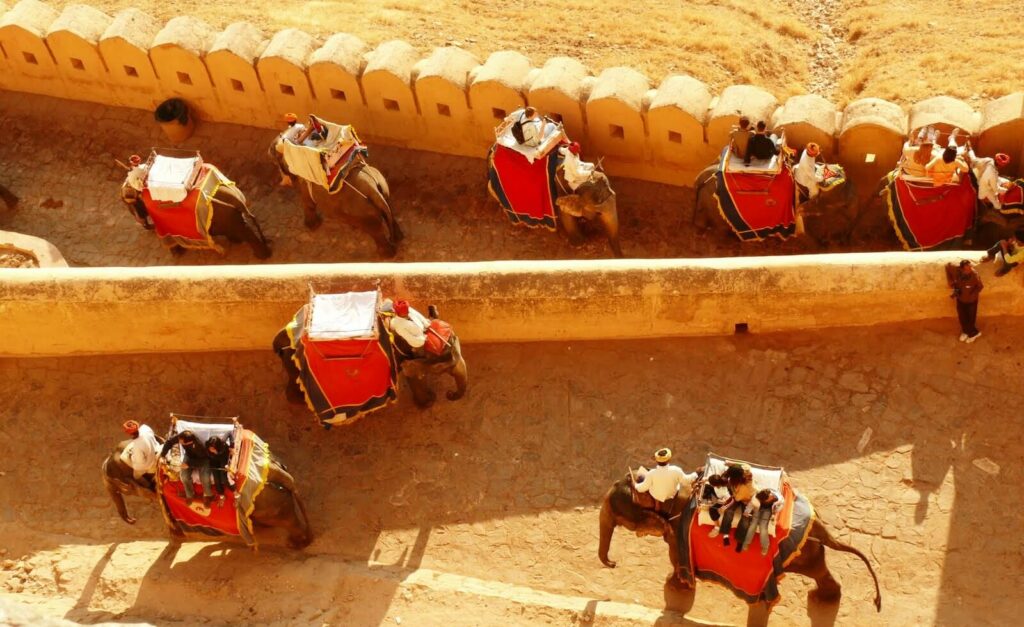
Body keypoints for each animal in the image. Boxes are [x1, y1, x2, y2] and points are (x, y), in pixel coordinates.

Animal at [104, 436, 313, 549]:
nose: (132, 520)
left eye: (118, 482)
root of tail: (282, 474)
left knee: (289, 522)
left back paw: (296, 544)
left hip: (271, 504)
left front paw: (174, 542)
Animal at [118, 181, 272, 259]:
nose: (143, 223)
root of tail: (237, 200)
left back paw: (261, 256)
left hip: (227, 216)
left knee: (243, 230)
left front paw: (177, 254)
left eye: (131, 204)